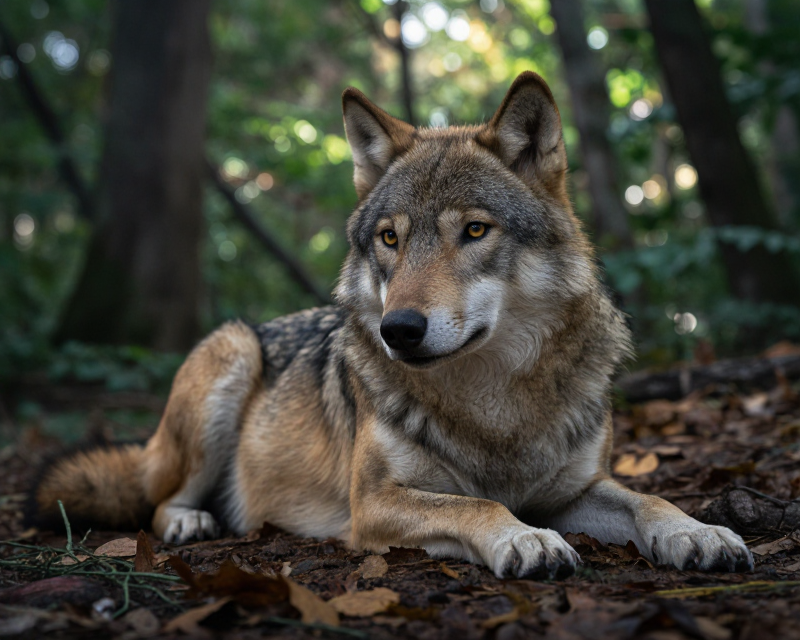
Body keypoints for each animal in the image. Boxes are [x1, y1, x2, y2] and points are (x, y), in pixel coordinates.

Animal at [32, 72, 752, 577]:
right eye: (389, 239)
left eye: (474, 231)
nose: (398, 329)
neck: (494, 404)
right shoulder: (373, 503)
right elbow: (478, 504)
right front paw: (524, 538)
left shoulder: (578, 488)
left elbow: (648, 499)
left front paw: (698, 531)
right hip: (229, 353)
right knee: (156, 501)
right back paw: (190, 522)